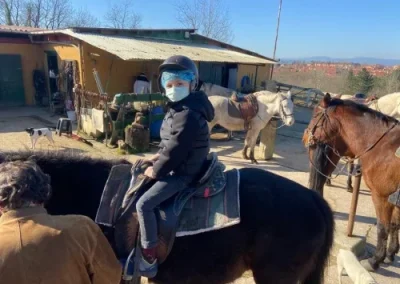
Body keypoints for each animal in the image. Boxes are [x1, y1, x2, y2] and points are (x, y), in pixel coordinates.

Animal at [304, 92, 398, 270]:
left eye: (315, 114)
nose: (305, 136)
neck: (385, 147)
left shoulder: (382, 196)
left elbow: (383, 227)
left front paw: (375, 260)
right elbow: (395, 225)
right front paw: (390, 254)